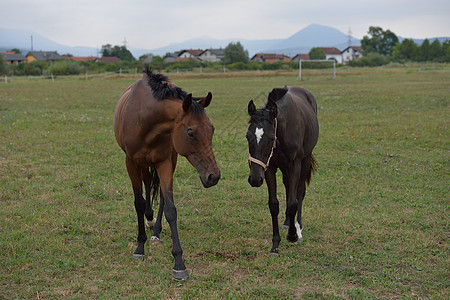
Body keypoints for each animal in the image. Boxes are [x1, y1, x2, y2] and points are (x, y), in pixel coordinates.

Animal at [113, 69, 221, 280]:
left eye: (211, 129)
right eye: (190, 132)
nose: (213, 176)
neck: (144, 119)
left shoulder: (163, 162)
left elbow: (170, 208)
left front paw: (179, 263)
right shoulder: (130, 163)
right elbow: (138, 202)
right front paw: (140, 247)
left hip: (170, 159)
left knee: (160, 193)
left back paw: (155, 231)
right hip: (142, 164)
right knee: (147, 184)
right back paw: (149, 220)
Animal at [246, 86, 320, 255]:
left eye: (270, 137)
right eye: (247, 136)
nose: (254, 179)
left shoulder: (295, 164)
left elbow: (293, 202)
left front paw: (292, 235)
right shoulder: (269, 168)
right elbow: (274, 204)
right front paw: (275, 244)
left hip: (305, 159)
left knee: (299, 191)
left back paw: (298, 227)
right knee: (287, 186)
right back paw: (287, 222)